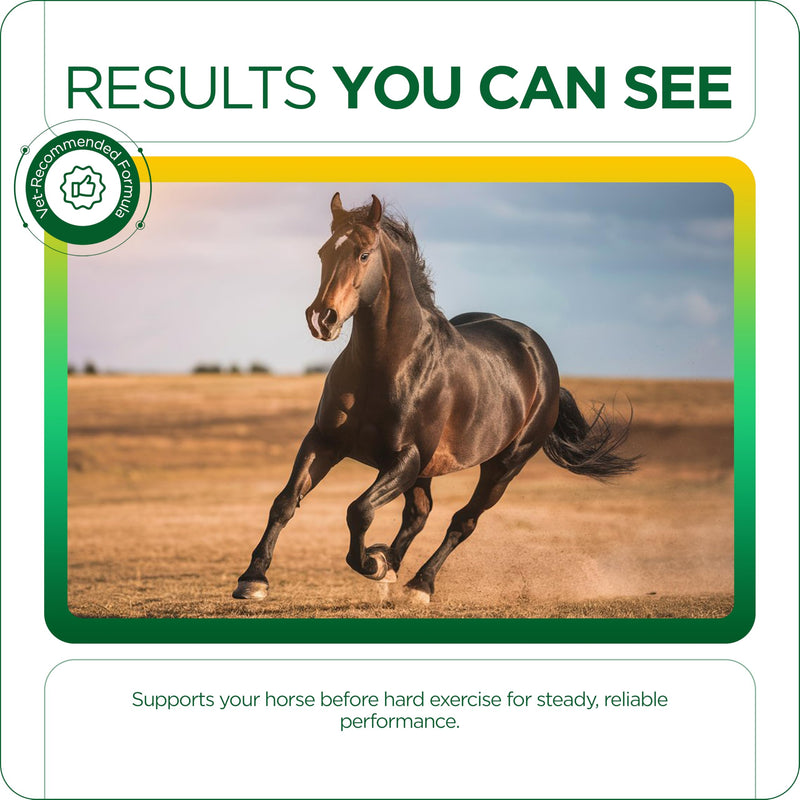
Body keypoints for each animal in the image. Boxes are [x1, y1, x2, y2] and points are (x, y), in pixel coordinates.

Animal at [233, 193, 638, 604]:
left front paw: (371, 563)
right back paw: (392, 566)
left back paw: (418, 583)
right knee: (420, 513)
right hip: (427, 470)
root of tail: (542, 362)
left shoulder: (405, 457)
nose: (322, 318)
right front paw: (253, 580)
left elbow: (359, 510)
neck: (389, 364)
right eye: (322, 252)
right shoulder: (325, 441)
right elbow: (285, 502)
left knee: (463, 521)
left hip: (503, 466)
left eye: (364, 254)